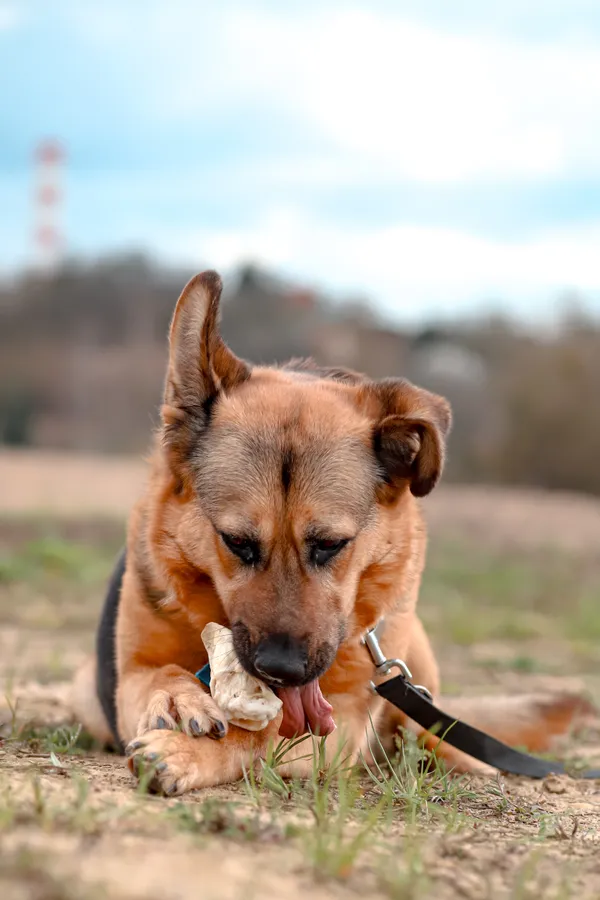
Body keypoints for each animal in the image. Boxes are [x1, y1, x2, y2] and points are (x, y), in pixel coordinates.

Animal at [71, 268, 592, 796]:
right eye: (236, 542)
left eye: (330, 545)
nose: (280, 669)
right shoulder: (129, 676)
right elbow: (163, 675)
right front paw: (179, 699)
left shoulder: (341, 720)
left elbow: (255, 736)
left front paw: (187, 751)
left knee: (430, 726)